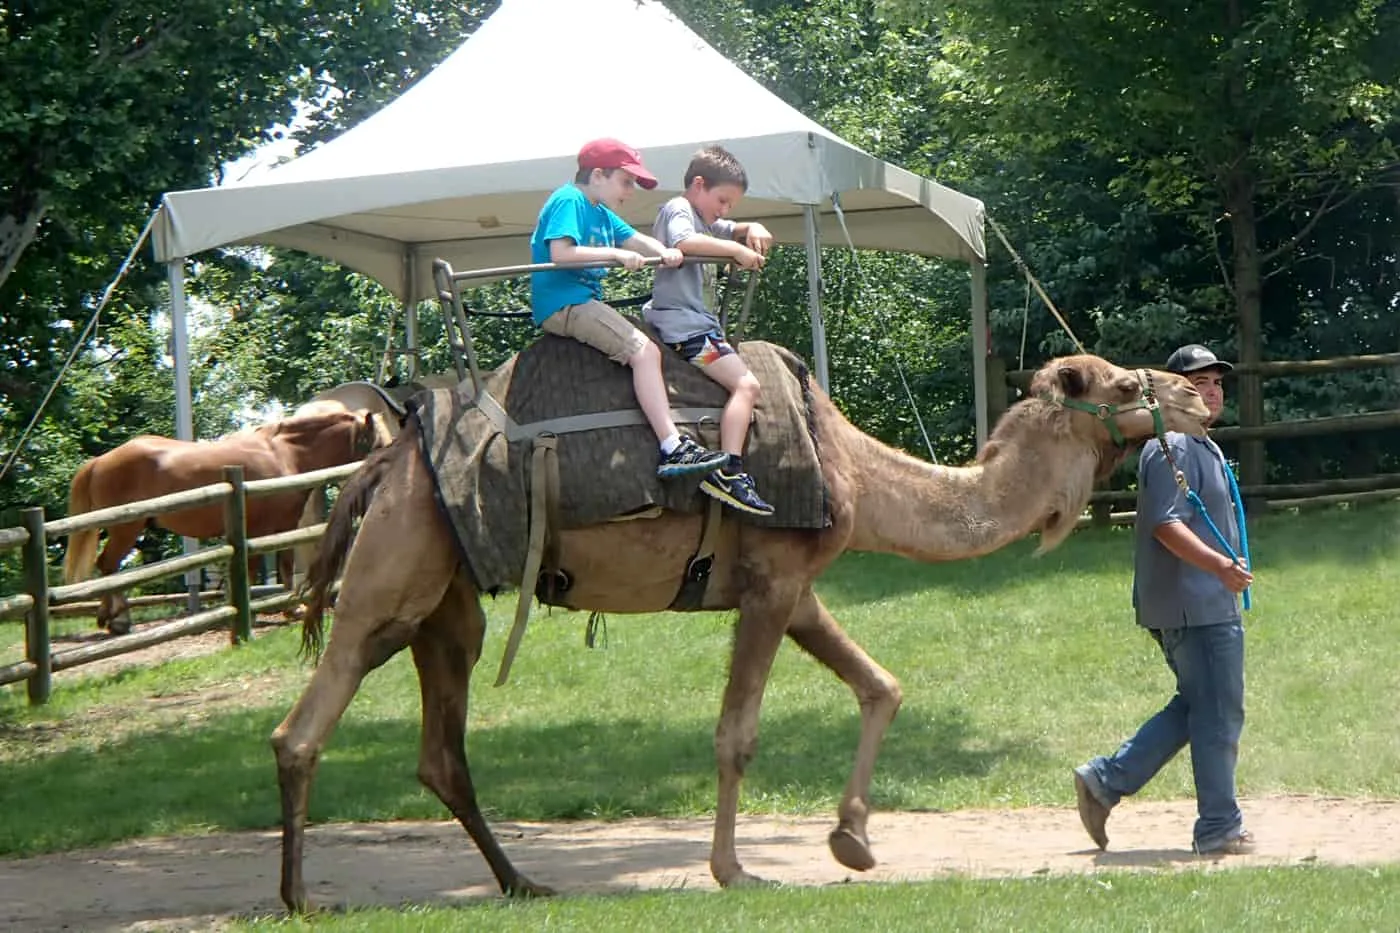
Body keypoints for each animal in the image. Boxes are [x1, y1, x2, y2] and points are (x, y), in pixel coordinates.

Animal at [61, 409, 389, 633]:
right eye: (376, 447)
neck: (285, 454)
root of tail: (100, 461)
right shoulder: (264, 529)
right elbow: (260, 568)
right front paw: (277, 610)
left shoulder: (280, 527)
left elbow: (280, 566)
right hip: (126, 528)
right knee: (108, 566)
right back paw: (119, 620)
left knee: (108, 568)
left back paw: (109, 617)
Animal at [270, 348, 1204, 907]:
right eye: (1126, 386)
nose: (1197, 393)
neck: (850, 464)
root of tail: (385, 462)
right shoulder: (773, 582)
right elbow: (737, 733)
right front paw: (736, 868)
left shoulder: (794, 589)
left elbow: (882, 684)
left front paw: (852, 841)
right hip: (397, 572)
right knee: (305, 724)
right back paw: (300, 897)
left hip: (447, 605)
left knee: (441, 750)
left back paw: (525, 881)